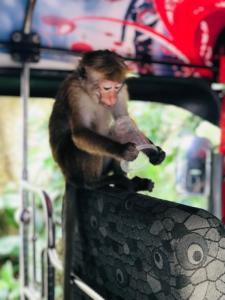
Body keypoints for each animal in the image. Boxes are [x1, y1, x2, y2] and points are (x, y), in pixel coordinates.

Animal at [49, 48, 165, 192]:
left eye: (117, 88)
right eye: (107, 88)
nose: (112, 99)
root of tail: (66, 175)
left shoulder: (122, 92)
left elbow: (124, 119)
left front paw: (154, 151)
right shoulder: (74, 91)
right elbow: (80, 132)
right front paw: (122, 150)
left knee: (120, 126)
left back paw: (125, 182)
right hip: (72, 169)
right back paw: (93, 182)